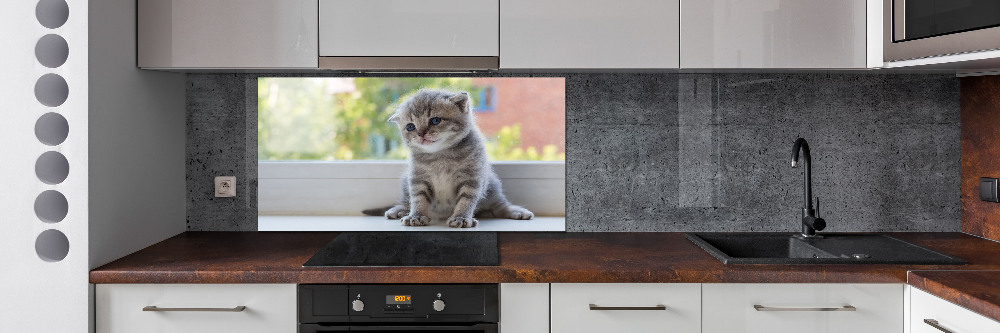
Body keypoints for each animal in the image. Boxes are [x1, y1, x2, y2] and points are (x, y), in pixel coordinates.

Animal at [366, 87, 536, 228]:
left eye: (435, 120)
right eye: (410, 127)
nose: (420, 134)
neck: (440, 156)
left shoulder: (472, 178)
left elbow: (466, 200)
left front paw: (461, 217)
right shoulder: (417, 178)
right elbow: (418, 198)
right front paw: (417, 215)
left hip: (492, 186)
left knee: (500, 206)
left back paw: (517, 211)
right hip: (405, 182)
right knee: (406, 201)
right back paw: (399, 210)